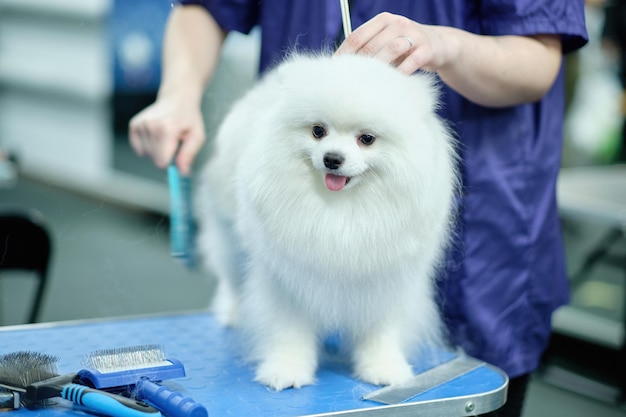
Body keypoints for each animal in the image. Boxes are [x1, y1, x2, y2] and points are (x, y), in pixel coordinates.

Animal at [196, 52, 458, 390]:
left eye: (367, 139)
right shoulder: (286, 277)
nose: (333, 158)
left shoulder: (387, 279)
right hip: (228, 233)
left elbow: (381, 328)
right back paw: (231, 311)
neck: (341, 210)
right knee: (229, 275)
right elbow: (288, 328)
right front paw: (287, 369)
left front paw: (384, 367)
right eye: (318, 131)